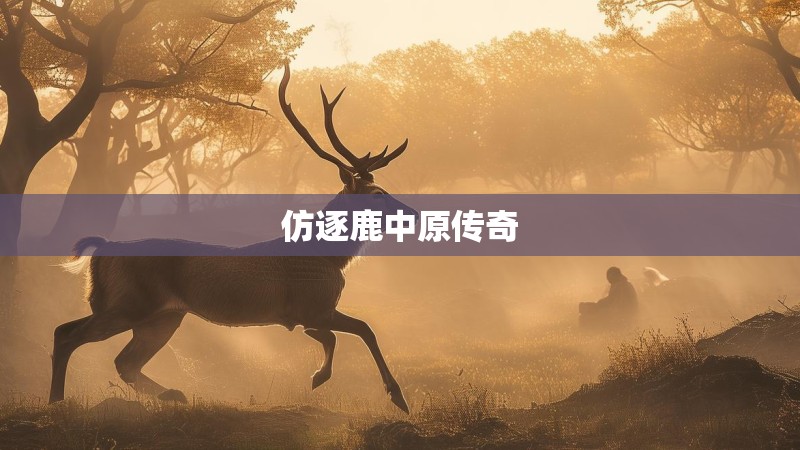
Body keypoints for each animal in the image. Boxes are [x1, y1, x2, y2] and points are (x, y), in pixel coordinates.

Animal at [47, 64, 414, 413]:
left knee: (121, 359)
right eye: (378, 194)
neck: (330, 257)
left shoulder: (310, 313)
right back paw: (58, 401)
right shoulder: (312, 306)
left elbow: (340, 335)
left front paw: (327, 376)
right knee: (70, 335)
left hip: (160, 315)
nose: (409, 212)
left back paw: (172, 394)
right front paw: (385, 393)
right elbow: (361, 330)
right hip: (132, 302)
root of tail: (101, 250)